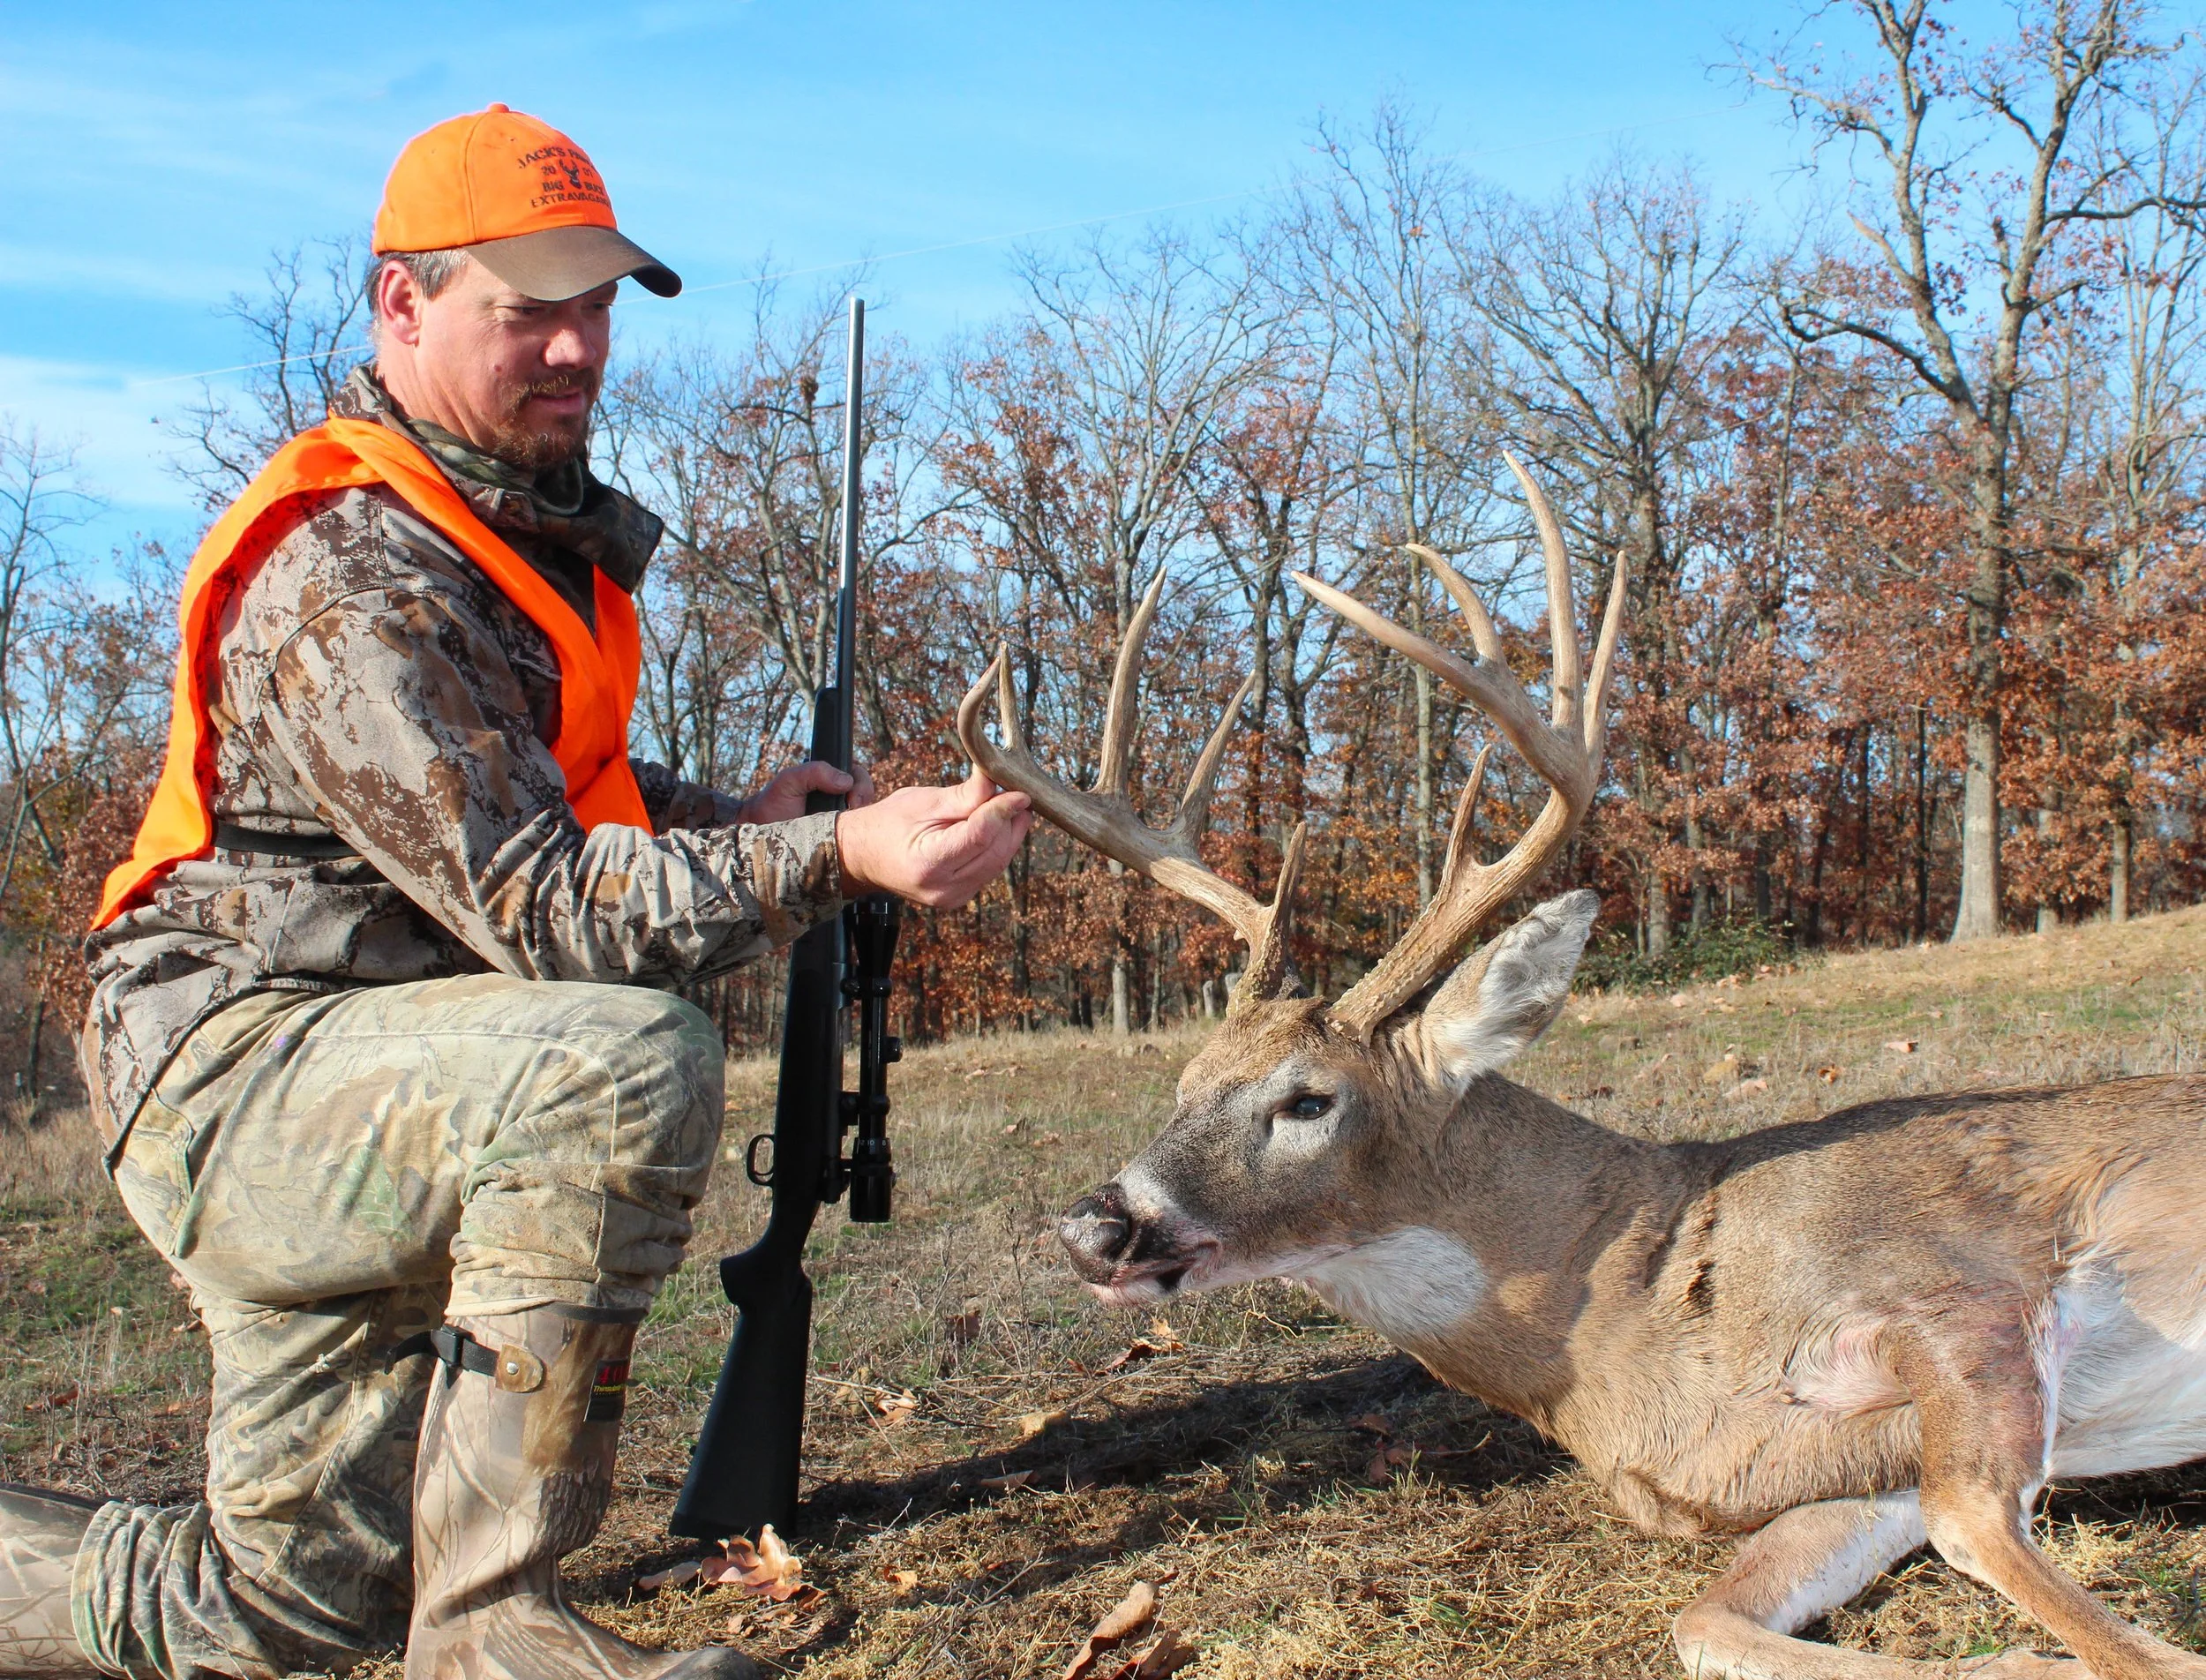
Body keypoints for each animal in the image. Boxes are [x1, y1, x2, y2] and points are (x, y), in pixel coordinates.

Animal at [955, 457, 2206, 1680]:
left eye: (1308, 1098)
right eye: (1180, 1086)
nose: (1092, 1225)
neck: (1643, 1317)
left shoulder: (1962, 1285)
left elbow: (1988, 1531)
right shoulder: (1838, 1474)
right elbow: (1711, 1623)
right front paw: (2024, 1662)